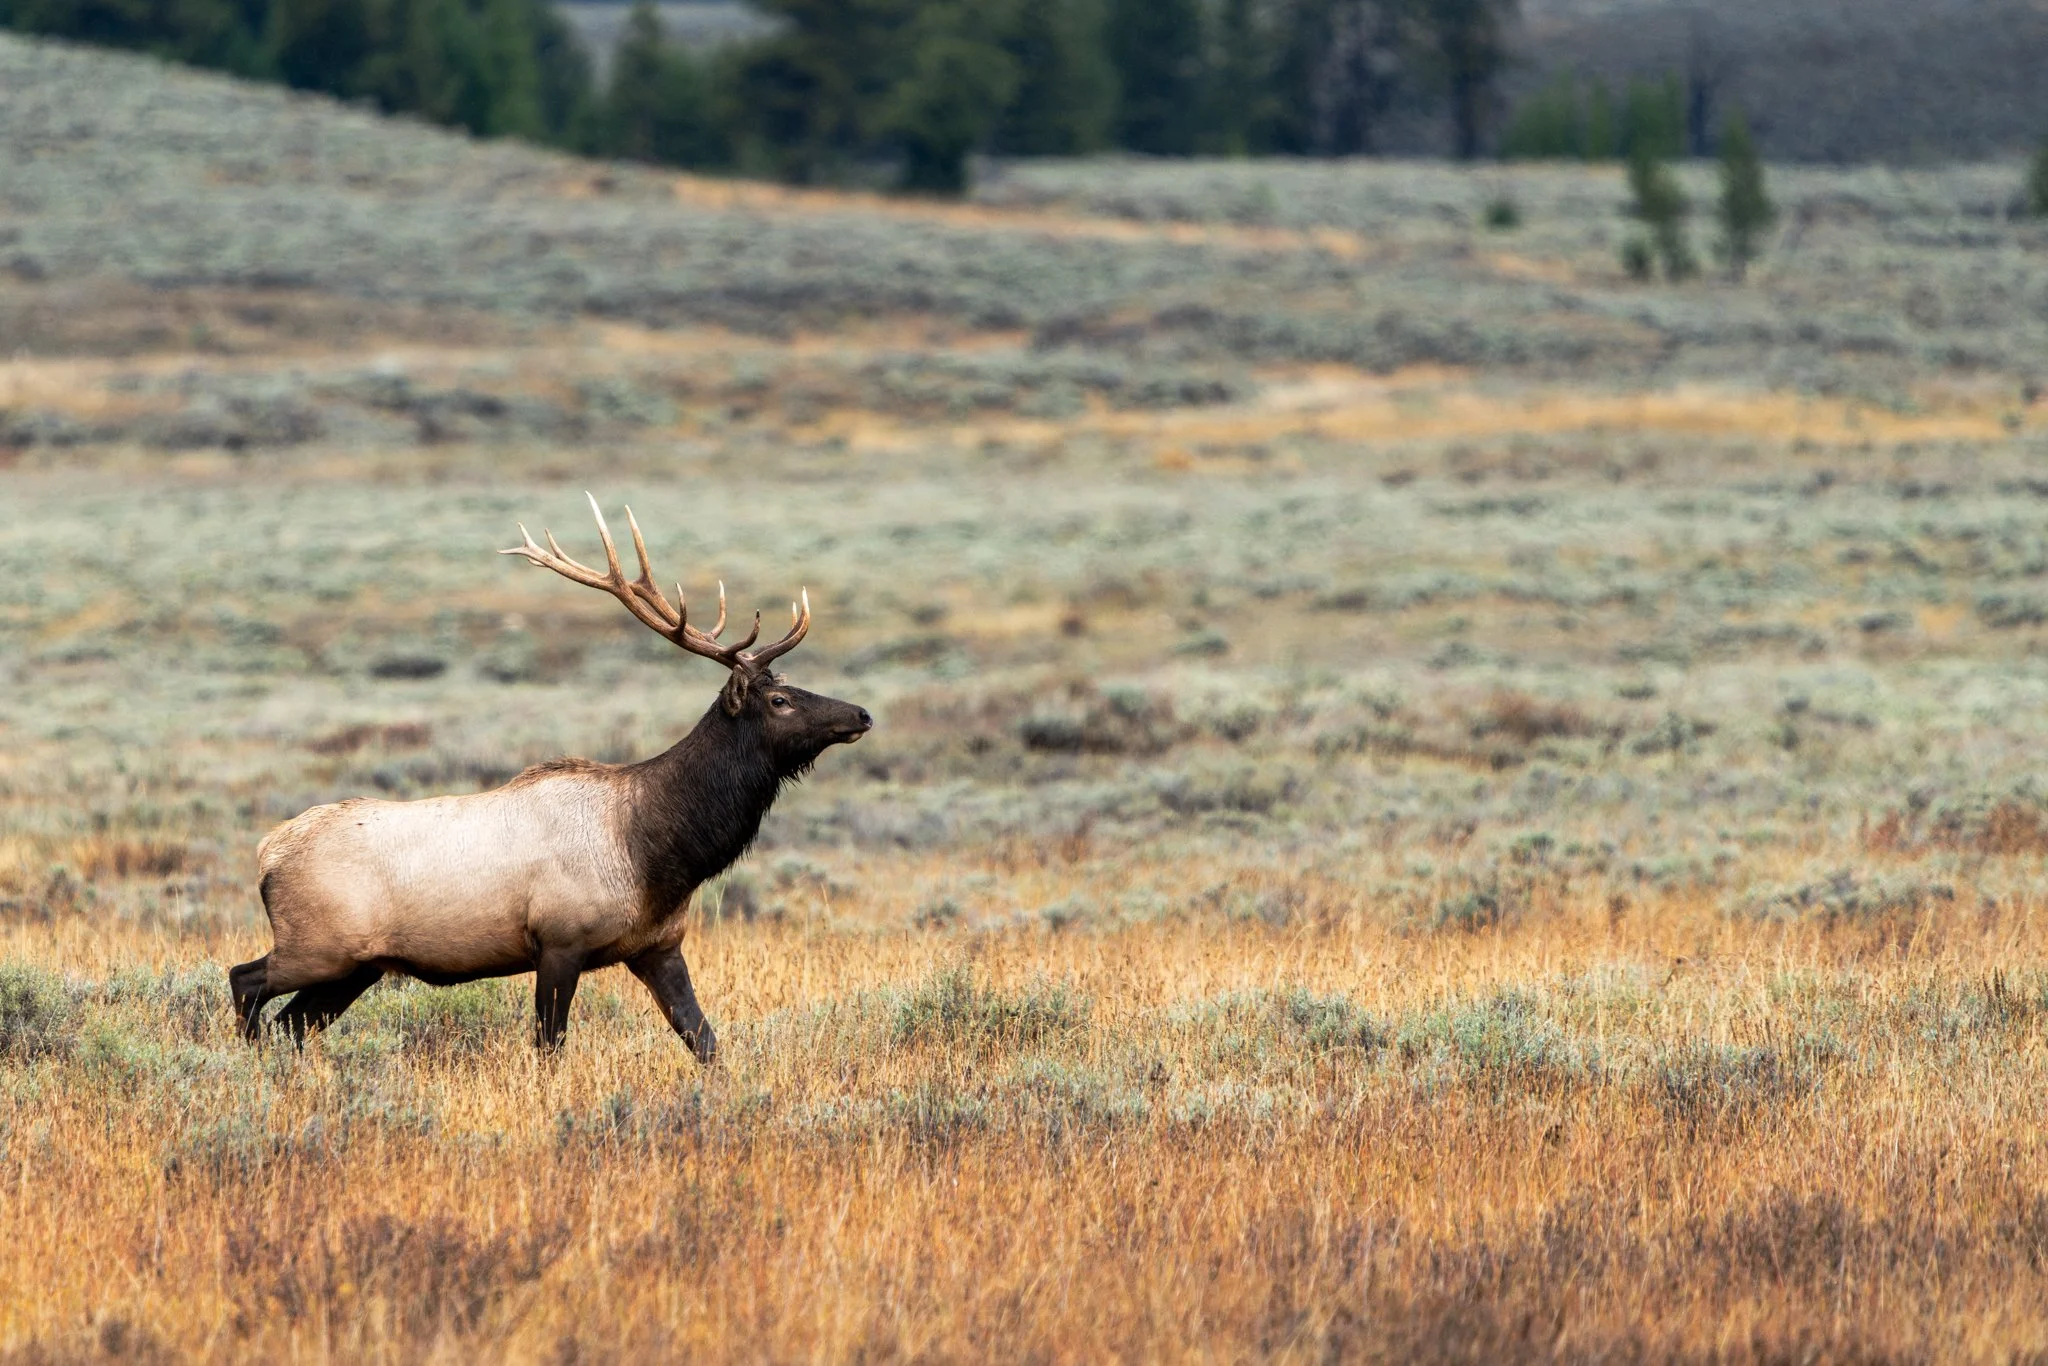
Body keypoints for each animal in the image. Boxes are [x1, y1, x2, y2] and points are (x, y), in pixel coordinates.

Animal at [228, 495, 871, 1061]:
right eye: (781, 700)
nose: (861, 714)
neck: (660, 854)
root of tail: (268, 852)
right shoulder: (561, 941)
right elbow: (549, 1045)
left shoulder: (657, 946)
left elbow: (705, 1041)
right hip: (318, 946)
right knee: (244, 981)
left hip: (355, 967)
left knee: (291, 1025)